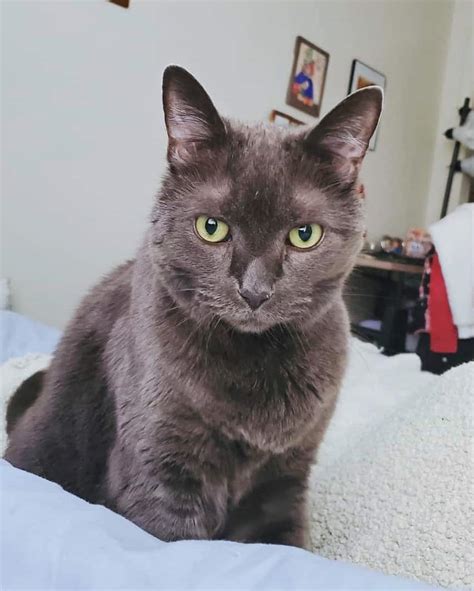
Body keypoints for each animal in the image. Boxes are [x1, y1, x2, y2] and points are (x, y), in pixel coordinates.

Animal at [5, 67, 382, 548]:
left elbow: (288, 543)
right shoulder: (162, 466)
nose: (254, 291)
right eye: (211, 228)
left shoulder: (286, 477)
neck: (257, 364)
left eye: (304, 235)